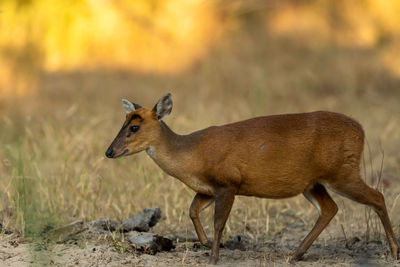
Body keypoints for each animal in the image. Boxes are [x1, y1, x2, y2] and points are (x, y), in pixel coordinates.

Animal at [104, 93, 398, 264]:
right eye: (123, 123)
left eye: (134, 127)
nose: (109, 152)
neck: (191, 154)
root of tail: (360, 130)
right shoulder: (209, 189)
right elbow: (192, 211)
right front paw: (207, 244)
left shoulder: (228, 182)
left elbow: (219, 222)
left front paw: (214, 256)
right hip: (313, 182)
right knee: (330, 209)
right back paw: (295, 254)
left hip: (342, 172)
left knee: (377, 196)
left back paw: (394, 251)